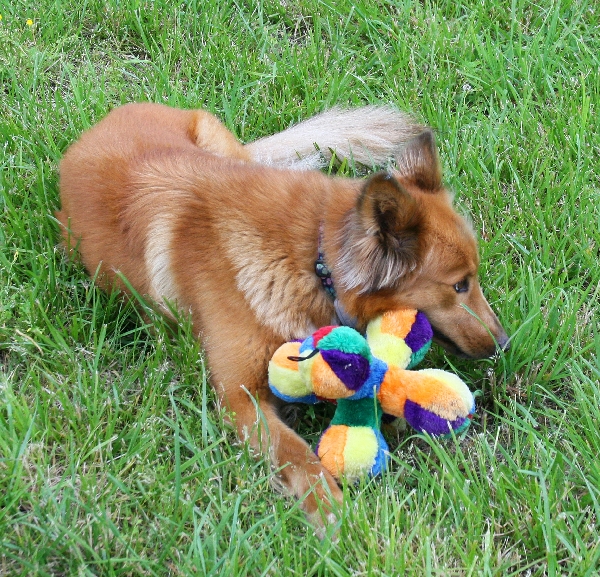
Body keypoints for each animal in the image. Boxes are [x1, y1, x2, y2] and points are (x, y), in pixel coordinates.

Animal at [56, 101, 508, 524]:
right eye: (459, 285)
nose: (503, 344)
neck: (317, 258)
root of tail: (102, 125)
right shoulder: (239, 398)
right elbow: (296, 452)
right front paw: (333, 513)